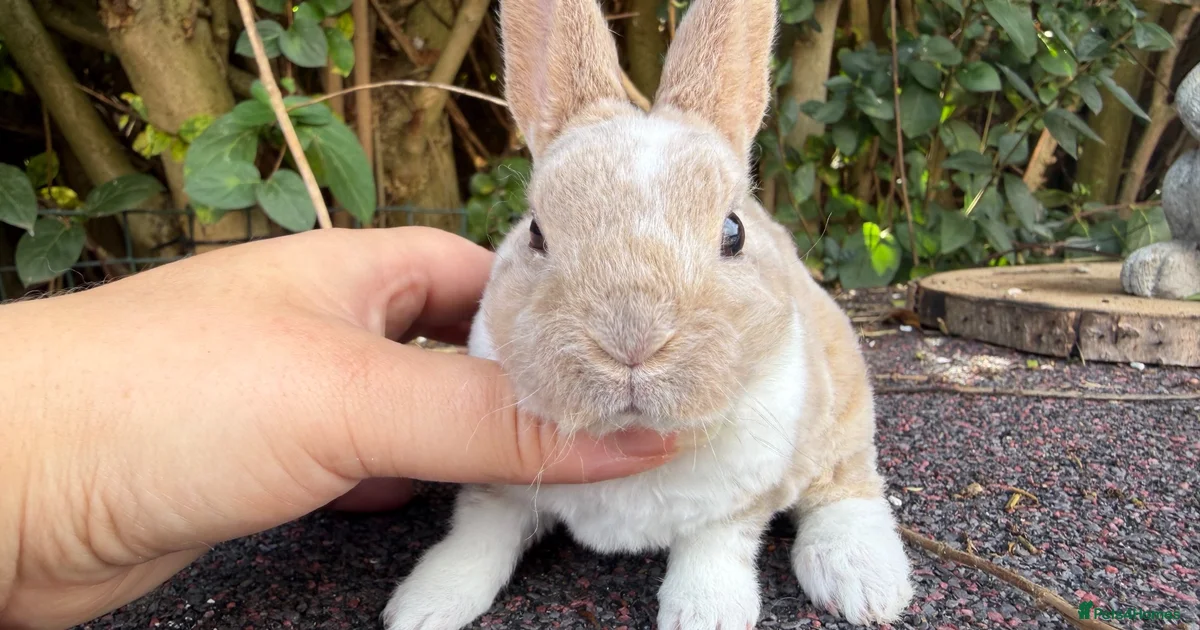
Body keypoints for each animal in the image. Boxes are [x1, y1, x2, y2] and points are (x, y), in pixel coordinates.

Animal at [382, 0, 915, 627]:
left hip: (842, 402)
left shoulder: (739, 501)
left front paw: (707, 613)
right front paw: (422, 606)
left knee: (845, 483)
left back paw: (865, 583)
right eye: (535, 232)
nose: (630, 340)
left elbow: (714, 547)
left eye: (733, 232)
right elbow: (477, 532)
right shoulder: (500, 490)